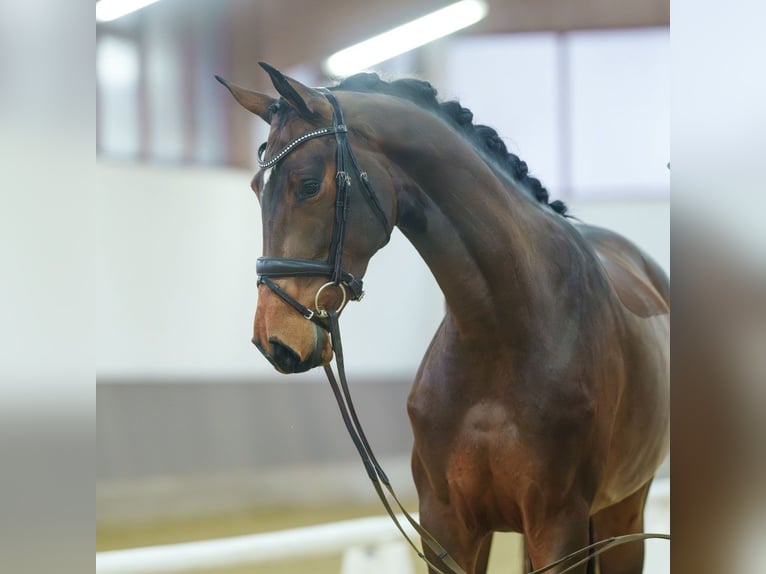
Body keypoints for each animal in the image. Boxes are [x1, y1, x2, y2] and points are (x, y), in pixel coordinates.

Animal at [218, 63, 672, 574]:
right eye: (256, 188)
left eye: (309, 185)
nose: (273, 339)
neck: (501, 333)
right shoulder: (446, 524)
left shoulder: (560, 529)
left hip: (623, 513)